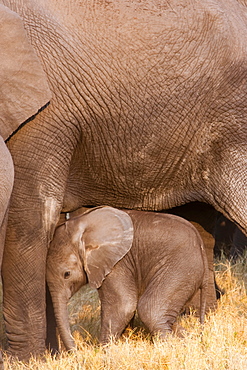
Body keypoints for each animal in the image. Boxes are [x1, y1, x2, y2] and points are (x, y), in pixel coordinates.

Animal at [46, 208, 208, 350]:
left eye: (67, 274)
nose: (77, 351)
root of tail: (201, 246)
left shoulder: (117, 263)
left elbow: (123, 306)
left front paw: (103, 351)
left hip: (181, 267)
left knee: (151, 310)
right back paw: (188, 340)